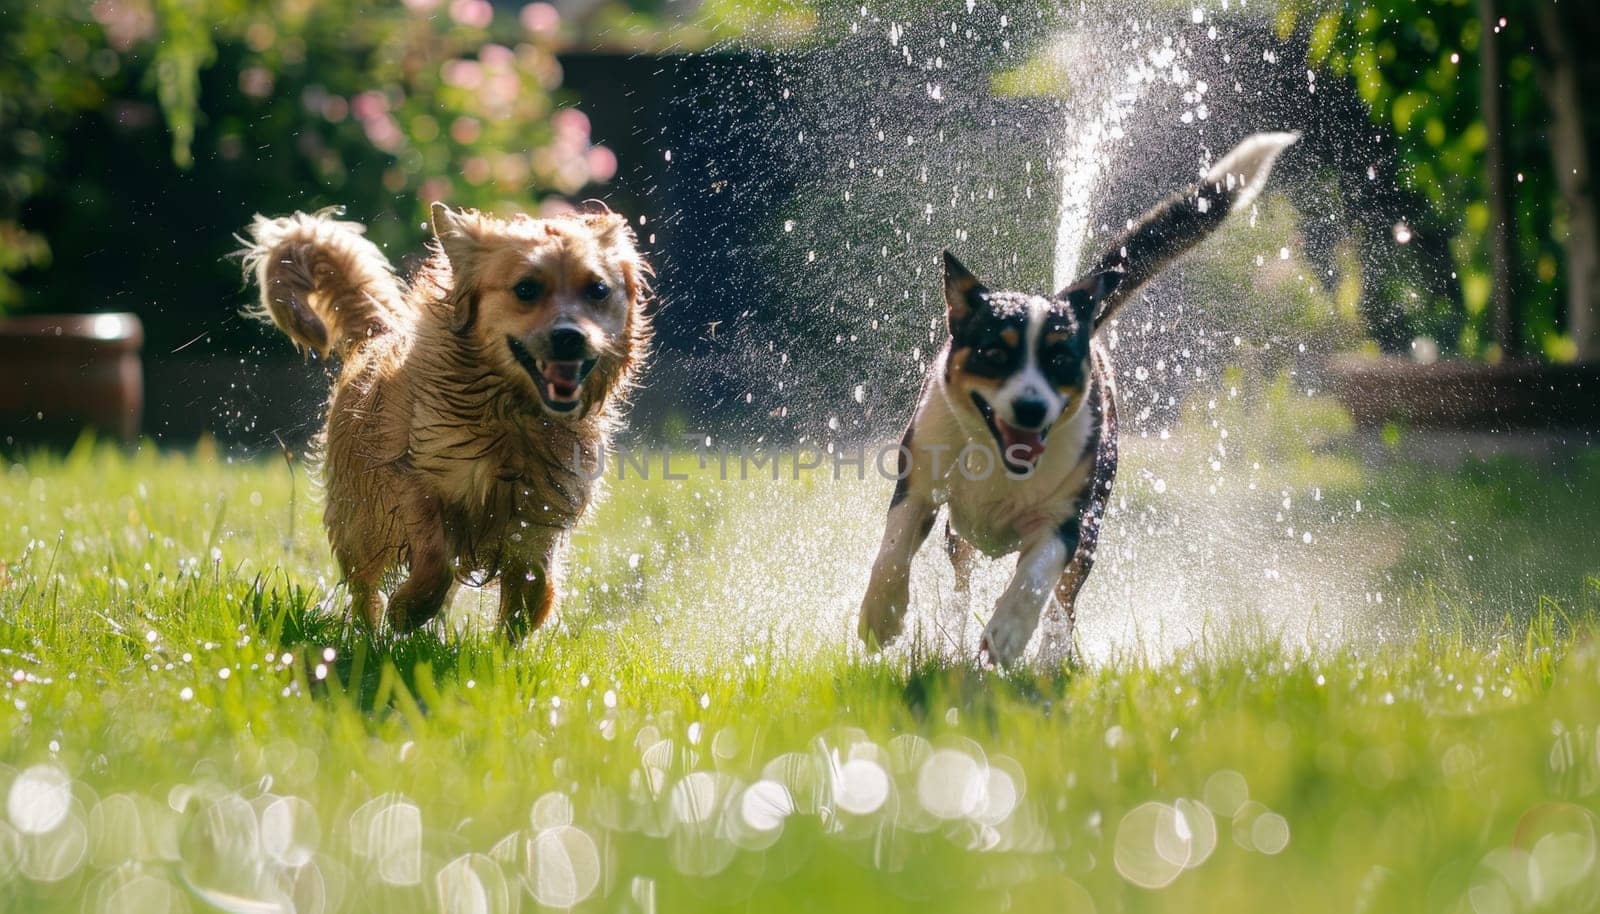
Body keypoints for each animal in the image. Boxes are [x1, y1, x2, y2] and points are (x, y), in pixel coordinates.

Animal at [238, 204, 649, 640]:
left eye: (598, 290)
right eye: (526, 289)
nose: (570, 336)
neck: (511, 417)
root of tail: (379, 330)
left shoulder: (541, 512)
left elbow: (535, 584)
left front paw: (504, 645)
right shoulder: (411, 477)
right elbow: (436, 557)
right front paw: (409, 607)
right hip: (357, 521)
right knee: (364, 587)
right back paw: (370, 634)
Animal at [857, 130, 1292, 665]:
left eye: (1060, 360)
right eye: (994, 353)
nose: (1031, 407)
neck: (997, 460)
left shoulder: (1069, 519)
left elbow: (1037, 575)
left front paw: (1008, 630)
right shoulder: (919, 477)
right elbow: (894, 546)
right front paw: (881, 615)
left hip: (1090, 531)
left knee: (1063, 601)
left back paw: (1049, 655)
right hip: (961, 536)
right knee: (961, 577)